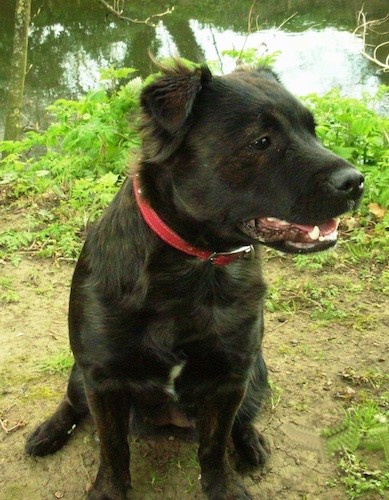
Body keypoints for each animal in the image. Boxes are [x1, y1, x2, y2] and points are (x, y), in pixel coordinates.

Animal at [25, 62, 362, 500]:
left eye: (313, 130)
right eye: (261, 141)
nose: (355, 181)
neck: (194, 267)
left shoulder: (229, 377)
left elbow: (213, 447)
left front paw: (224, 487)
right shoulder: (102, 376)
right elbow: (113, 449)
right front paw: (108, 490)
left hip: (257, 375)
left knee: (241, 422)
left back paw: (251, 443)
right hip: (80, 376)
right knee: (71, 403)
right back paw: (47, 433)